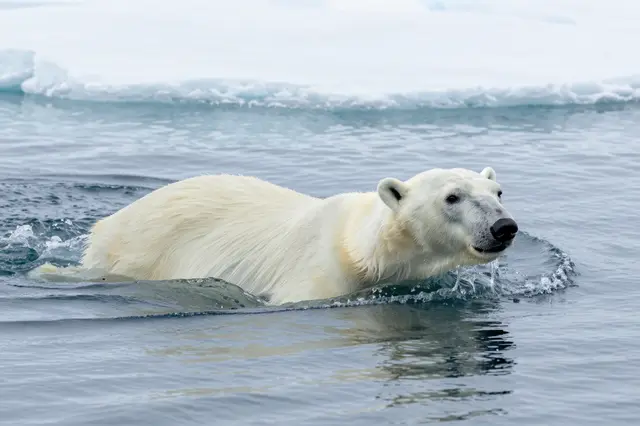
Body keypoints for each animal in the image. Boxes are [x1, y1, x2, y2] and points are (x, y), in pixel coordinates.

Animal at [31, 166, 518, 305]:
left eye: (497, 192)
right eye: (453, 197)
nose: (504, 226)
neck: (361, 247)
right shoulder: (317, 278)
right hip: (136, 250)